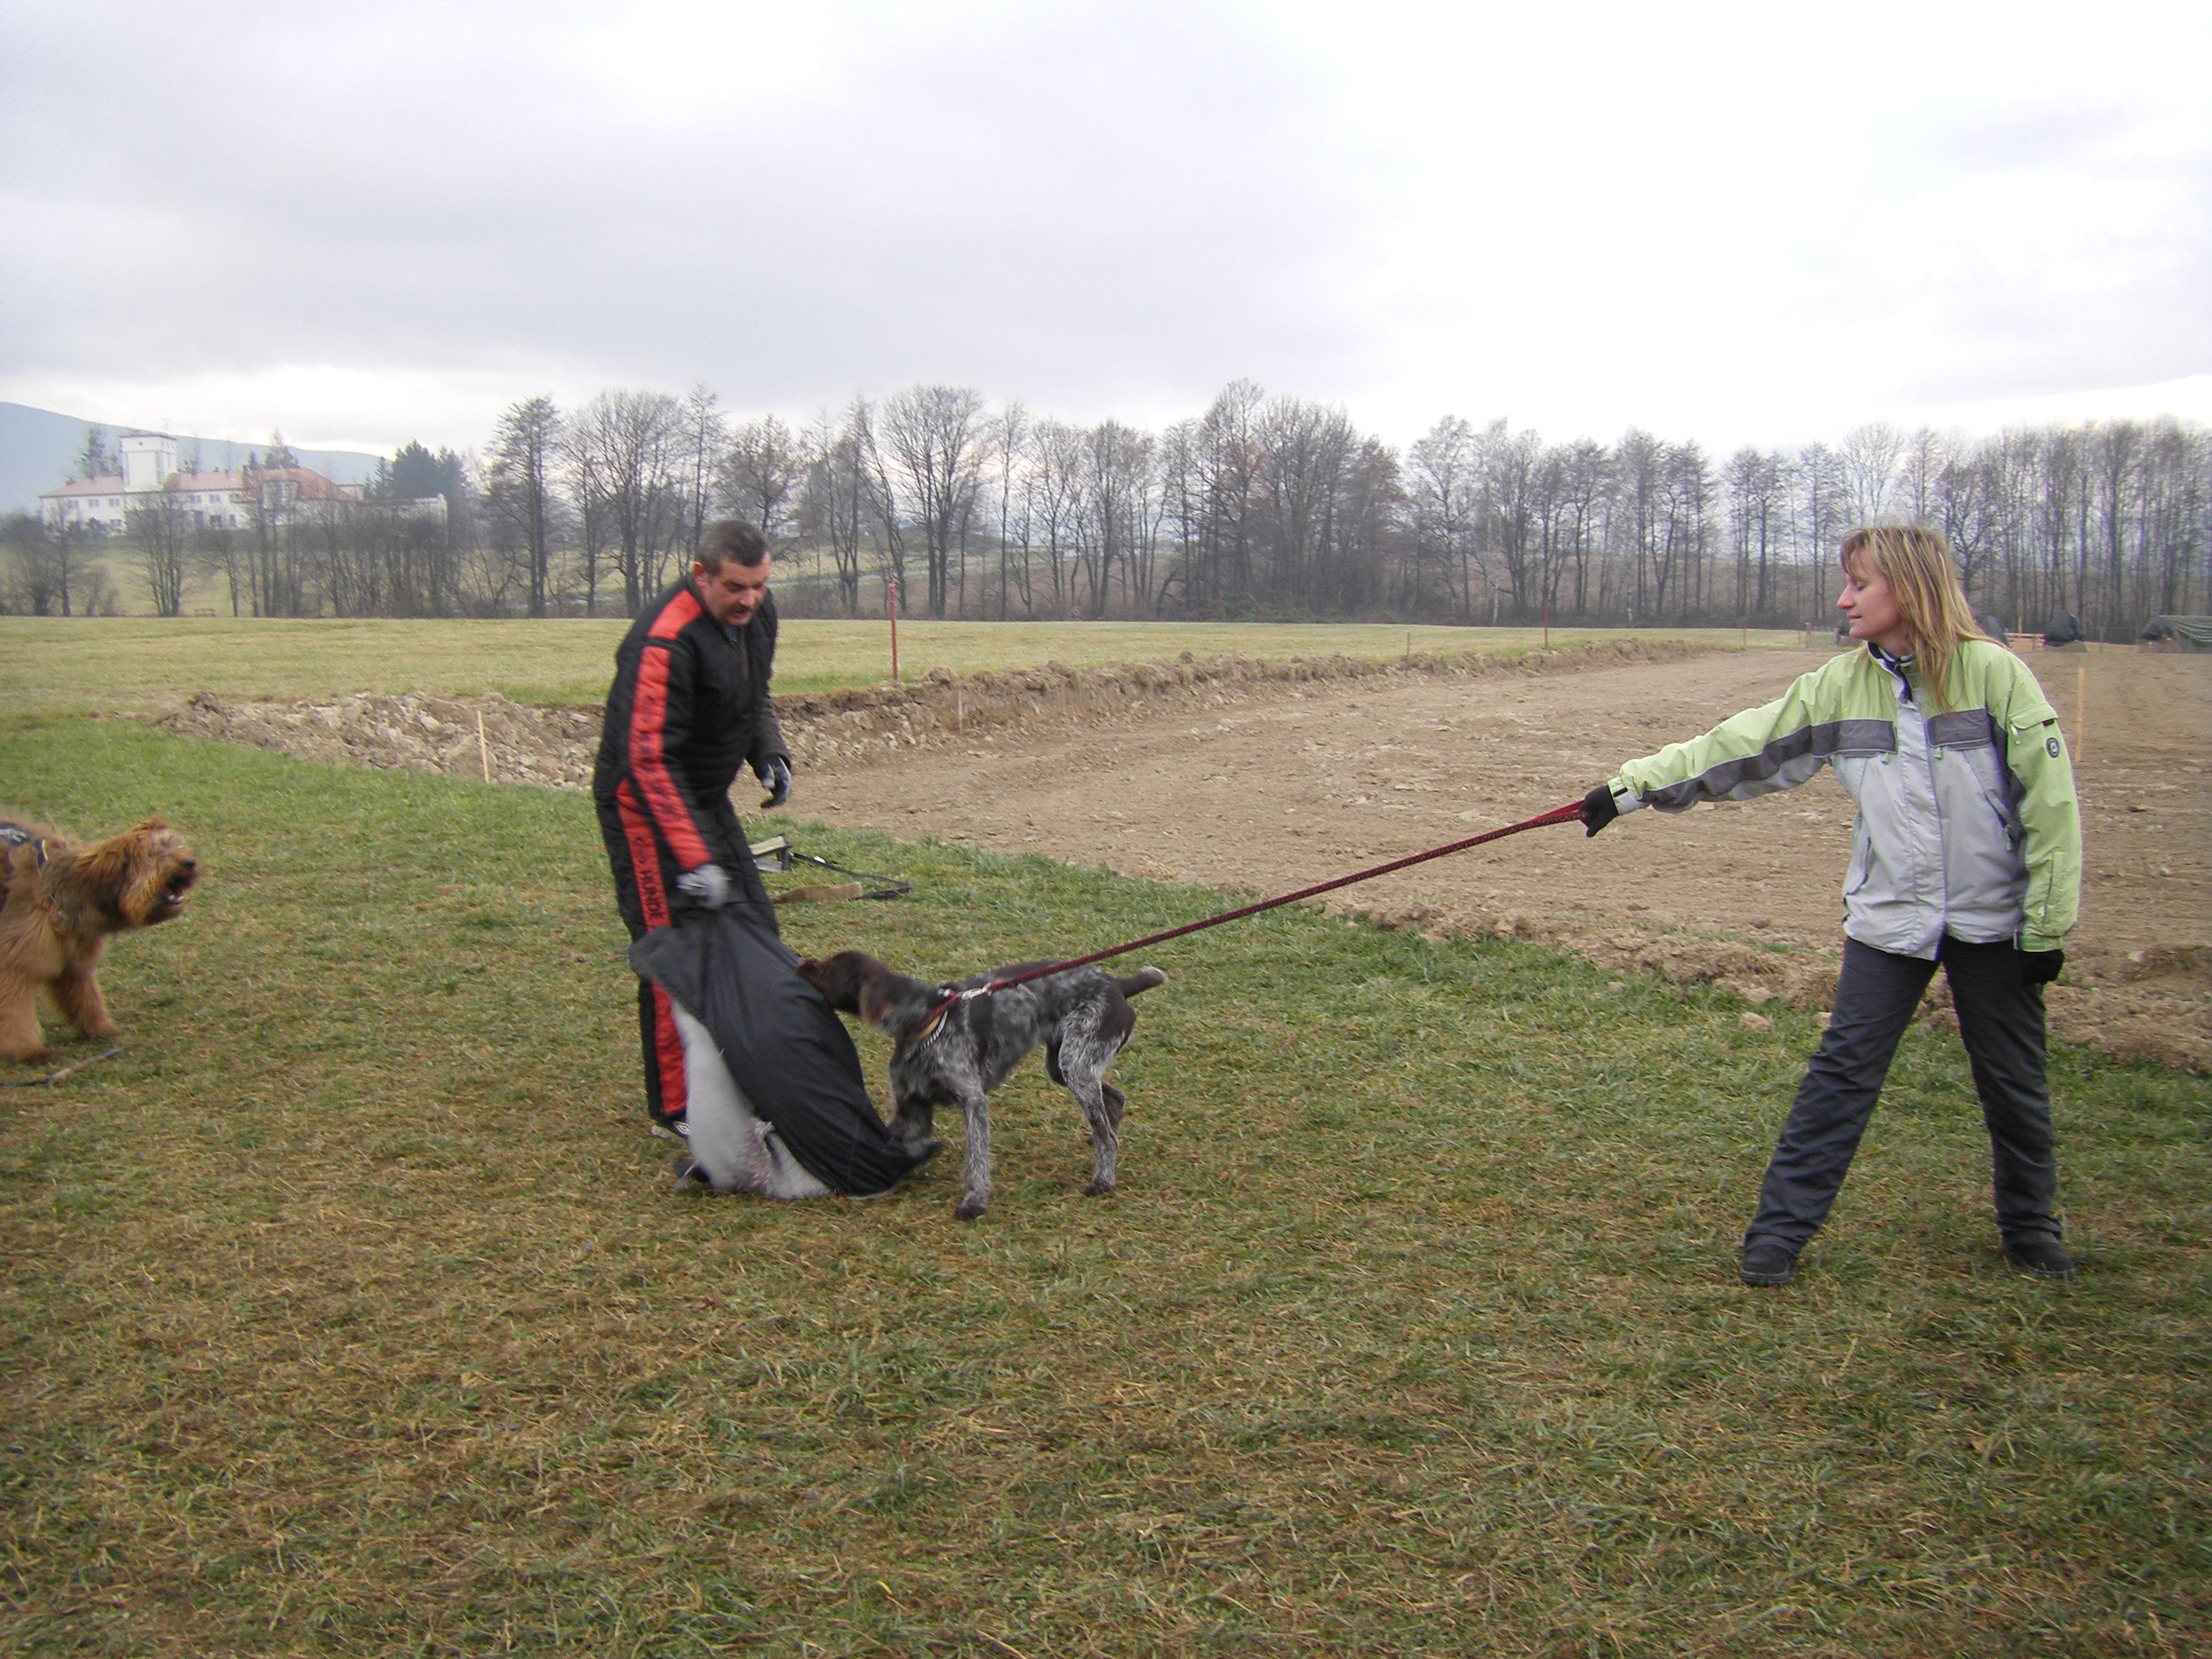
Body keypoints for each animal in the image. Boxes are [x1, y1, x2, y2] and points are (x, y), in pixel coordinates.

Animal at [0, 814, 197, 1066]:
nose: (190, 863)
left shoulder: (74, 962)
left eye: (174, 844)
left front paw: (99, 1029)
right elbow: (15, 1013)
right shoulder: (17, 962)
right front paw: (26, 1050)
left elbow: (86, 998)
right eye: (152, 854)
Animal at [801, 946, 1177, 1220]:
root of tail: (1117, 984)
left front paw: (975, 1202)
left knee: (1108, 1133)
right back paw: (1099, 1142)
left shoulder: (973, 1101)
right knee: (1113, 1101)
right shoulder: (912, 1111)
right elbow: (887, 1144)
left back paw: (1103, 1180)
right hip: (1065, 1066)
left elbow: (977, 1159)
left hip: (1077, 1064)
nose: (802, 964)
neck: (925, 1018)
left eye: (828, 970)